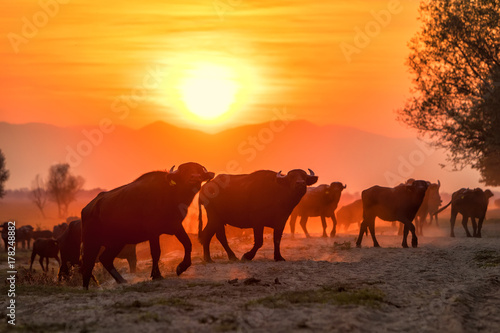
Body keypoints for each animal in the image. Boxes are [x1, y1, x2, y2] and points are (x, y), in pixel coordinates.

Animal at [81, 163, 214, 288]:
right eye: (185, 171)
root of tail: (89, 208)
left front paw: (181, 267)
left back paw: (121, 280)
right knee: (88, 264)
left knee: (105, 259)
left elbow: (188, 244)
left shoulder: (176, 226)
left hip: (117, 242)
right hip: (91, 243)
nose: (194, 177)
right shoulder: (153, 233)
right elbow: (156, 252)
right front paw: (157, 275)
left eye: (198, 170)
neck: (171, 194)